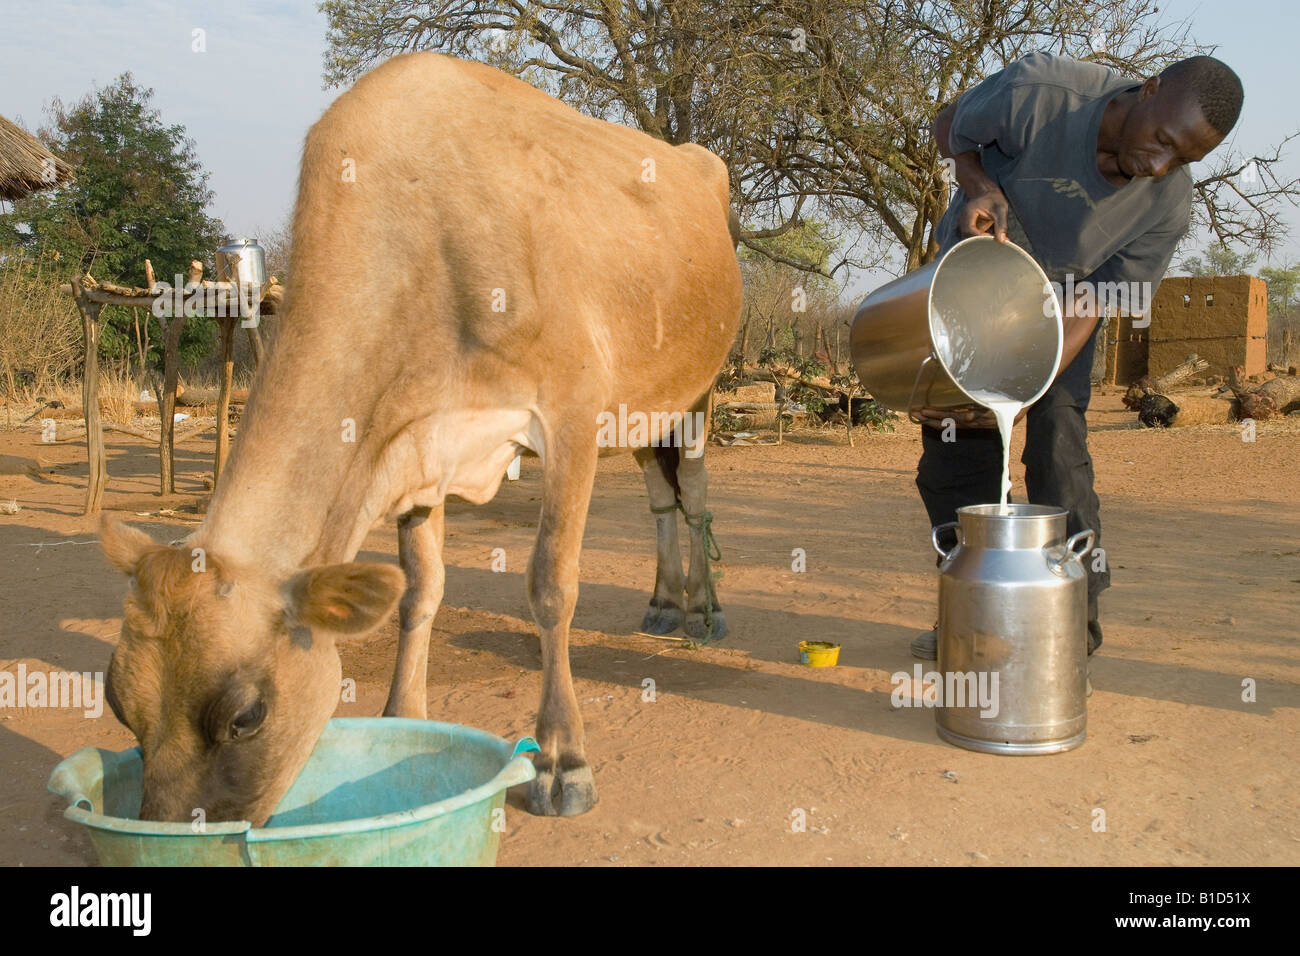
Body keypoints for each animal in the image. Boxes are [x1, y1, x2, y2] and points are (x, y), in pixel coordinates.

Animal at [98, 52, 743, 827]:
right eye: (117, 700)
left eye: (246, 716)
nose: (168, 836)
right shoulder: (413, 441)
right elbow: (419, 591)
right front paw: (401, 717)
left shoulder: (571, 410)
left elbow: (551, 585)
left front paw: (563, 760)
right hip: (645, 404)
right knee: (659, 494)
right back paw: (664, 603)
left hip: (697, 385)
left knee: (694, 494)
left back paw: (704, 610)